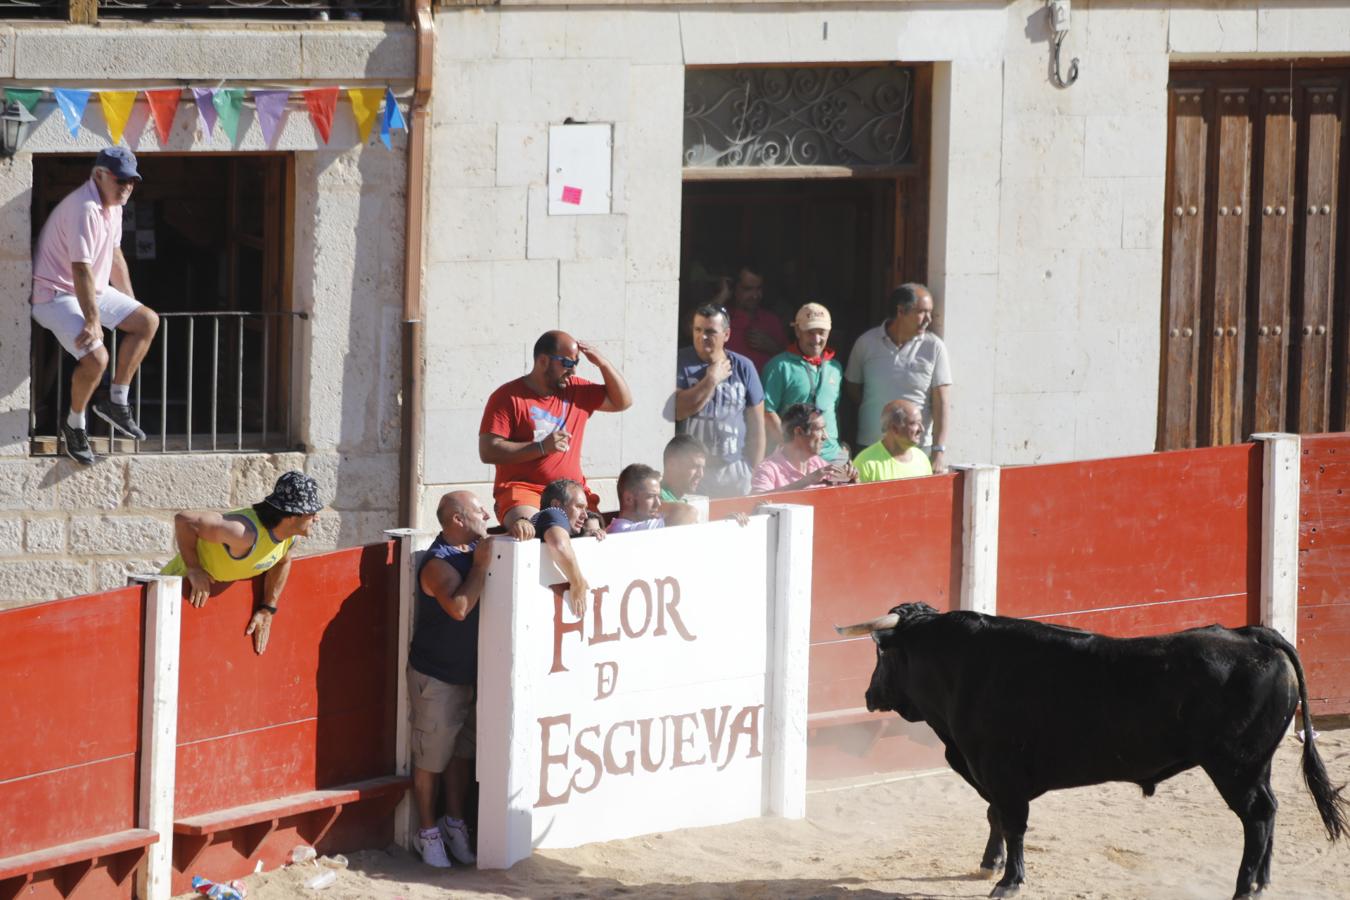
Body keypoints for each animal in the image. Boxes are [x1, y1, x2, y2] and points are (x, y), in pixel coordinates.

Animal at [837, 604, 1344, 900]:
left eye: (881, 655)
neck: (962, 666)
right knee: (1271, 811)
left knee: (1256, 816)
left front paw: (1008, 881)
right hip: (1258, 764)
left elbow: (1013, 822)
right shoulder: (991, 775)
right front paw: (990, 864)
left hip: (1235, 766)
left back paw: (1243, 888)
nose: (868, 695)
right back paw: (1263, 880)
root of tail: (1250, 633)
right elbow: (995, 816)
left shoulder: (1001, 773)